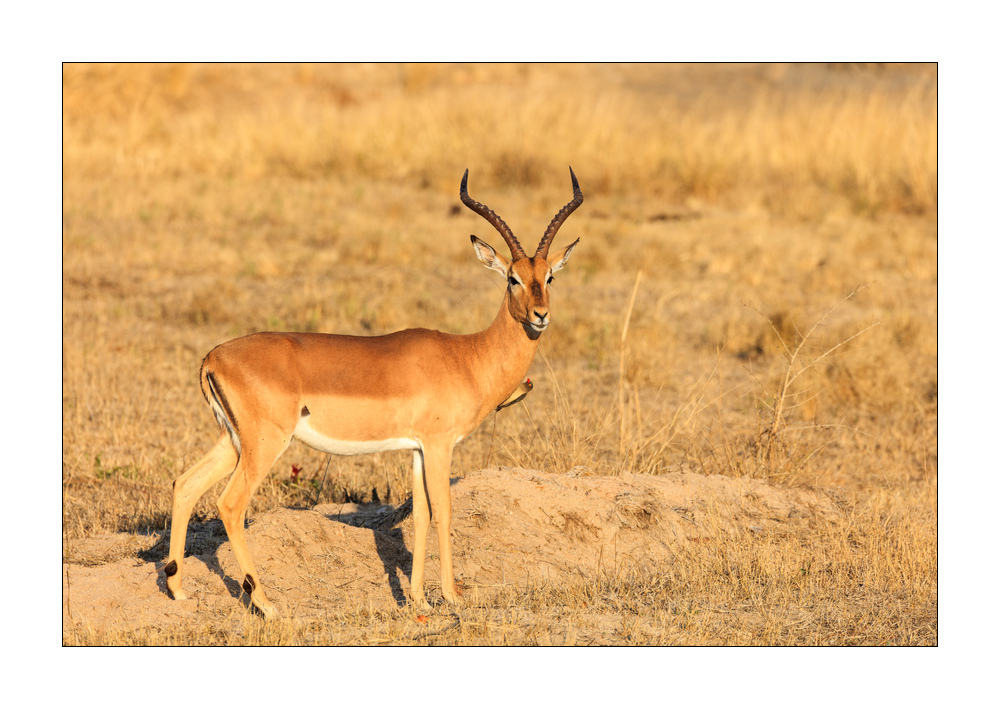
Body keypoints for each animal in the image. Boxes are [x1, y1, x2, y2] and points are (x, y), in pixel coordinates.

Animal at [163, 168, 583, 618]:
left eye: (549, 276)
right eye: (512, 278)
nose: (541, 315)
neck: (466, 356)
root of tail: (213, 357)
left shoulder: (417, 449)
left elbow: (420, 516)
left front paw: (418, 600)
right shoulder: (439, 445)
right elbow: (444, 512)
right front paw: (451, 596)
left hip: (234, 441)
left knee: (184, 484)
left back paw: (178, 589)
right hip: (265, 444)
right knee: (230, 505)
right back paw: (266, 603)